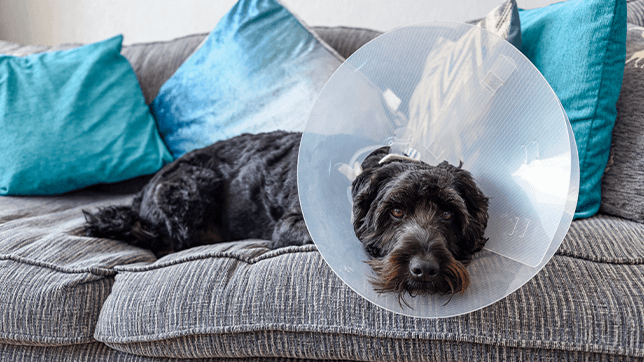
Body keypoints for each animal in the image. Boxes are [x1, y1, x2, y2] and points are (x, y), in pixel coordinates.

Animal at [85, 129, 488, 300]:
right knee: (167, 242)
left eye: (449, 214)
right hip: (191, 188)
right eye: (397, 211)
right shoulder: (291, 225)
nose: (425, 270)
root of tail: (142, 192)